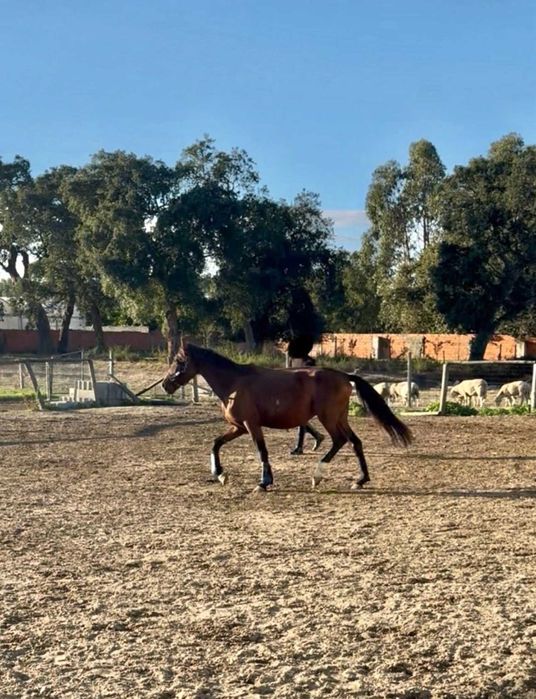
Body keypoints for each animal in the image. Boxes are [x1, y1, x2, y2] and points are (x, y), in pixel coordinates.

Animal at [162, 343, 413, 491]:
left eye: (178, 360)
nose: (166, 385)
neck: (235, 383)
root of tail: (344, 376)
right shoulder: (238, 427)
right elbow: (216, 443)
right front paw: (220, 474)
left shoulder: (251, 425)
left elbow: (261, 451)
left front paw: (263, 483)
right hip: (340, 418)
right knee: (355, 443)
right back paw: (360, 480)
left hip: (329, 418)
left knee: (340, 441)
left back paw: (317, 475)